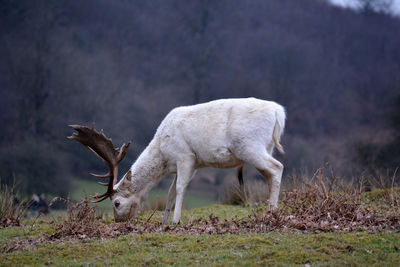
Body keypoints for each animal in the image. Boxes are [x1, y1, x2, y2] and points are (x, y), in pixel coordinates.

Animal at [70, 98, 286, 224]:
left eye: (116, 202)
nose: (118, 221)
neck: (164, 155)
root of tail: (279, 113)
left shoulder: (186, 157)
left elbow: (181, 188)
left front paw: (175, 220)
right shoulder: (188, 165)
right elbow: (170, 192)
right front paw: (164, 221)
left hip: (250, 146)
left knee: (277, 167)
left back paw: (273, 213)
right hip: (266, 147)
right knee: (270, 175)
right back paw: (270, 210)